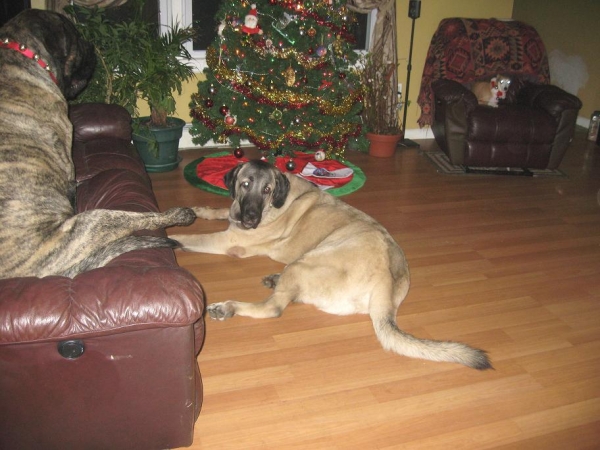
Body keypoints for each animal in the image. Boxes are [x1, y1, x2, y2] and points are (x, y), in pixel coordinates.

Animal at [0, 9, 193, 278]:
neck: (21, 53)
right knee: (138, 218)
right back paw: (178, 214)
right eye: (76, 37)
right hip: (94, 221)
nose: (91, 47)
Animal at [170, 160, 492, 370]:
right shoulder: (233, 215)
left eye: (267, 190)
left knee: (273, 307)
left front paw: (163, 235)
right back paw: (273, 279)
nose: (250, 219)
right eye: (245, 184)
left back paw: (229, 306)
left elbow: (187, 238)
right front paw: (198, 211)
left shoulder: (228, 240)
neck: (281, 198)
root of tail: (387, 281)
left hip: (305, 262)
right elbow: (220, 210)